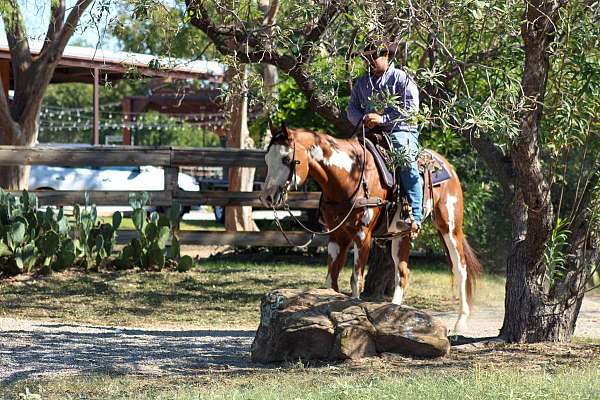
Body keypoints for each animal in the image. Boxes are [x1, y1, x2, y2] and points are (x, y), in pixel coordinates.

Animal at [258, 124, 482, 332]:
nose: (267, 196)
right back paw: (393, 313)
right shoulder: (337, 236)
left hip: (450, 227)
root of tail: (448, 166)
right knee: (402, 273)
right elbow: (331, 280)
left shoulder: (362, 236)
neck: (349, 176)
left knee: (460, 268)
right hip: (401, 234)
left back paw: (461, 322)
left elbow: (356, 279)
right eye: (267, 159)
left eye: (286, 158)